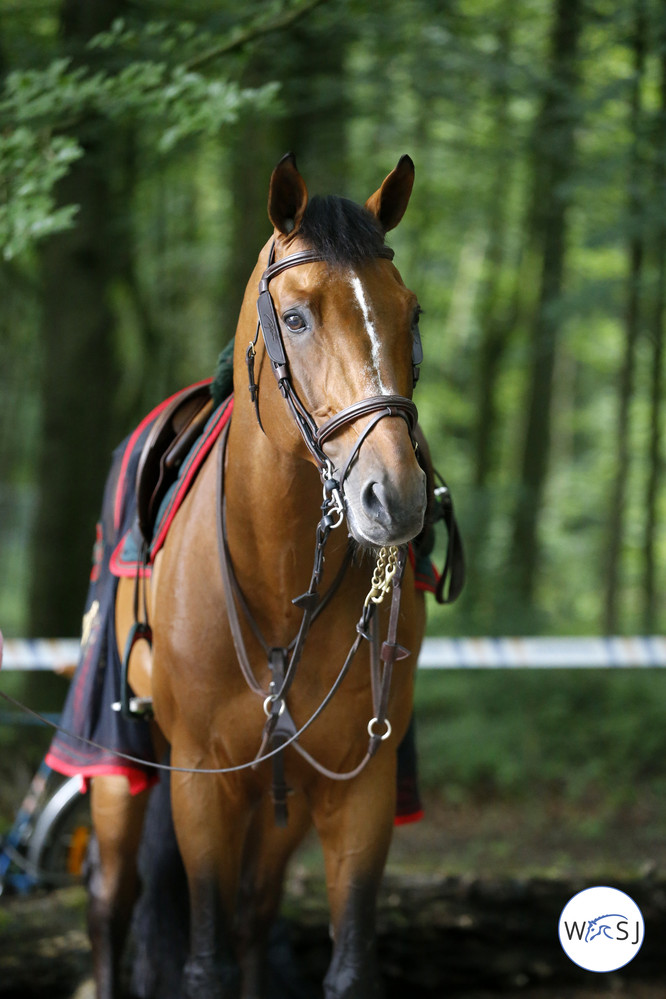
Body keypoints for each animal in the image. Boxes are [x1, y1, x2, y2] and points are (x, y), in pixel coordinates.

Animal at [87, 150, 426, 999]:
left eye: (410, 314)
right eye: (297, 318)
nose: (396, 496)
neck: (277, 577)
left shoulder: (357, 784)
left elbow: (346, 964)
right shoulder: (203, 780)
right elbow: (202, 962)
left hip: (285, 796)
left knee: (252, 914)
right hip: (115, 757)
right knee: (110, 901)